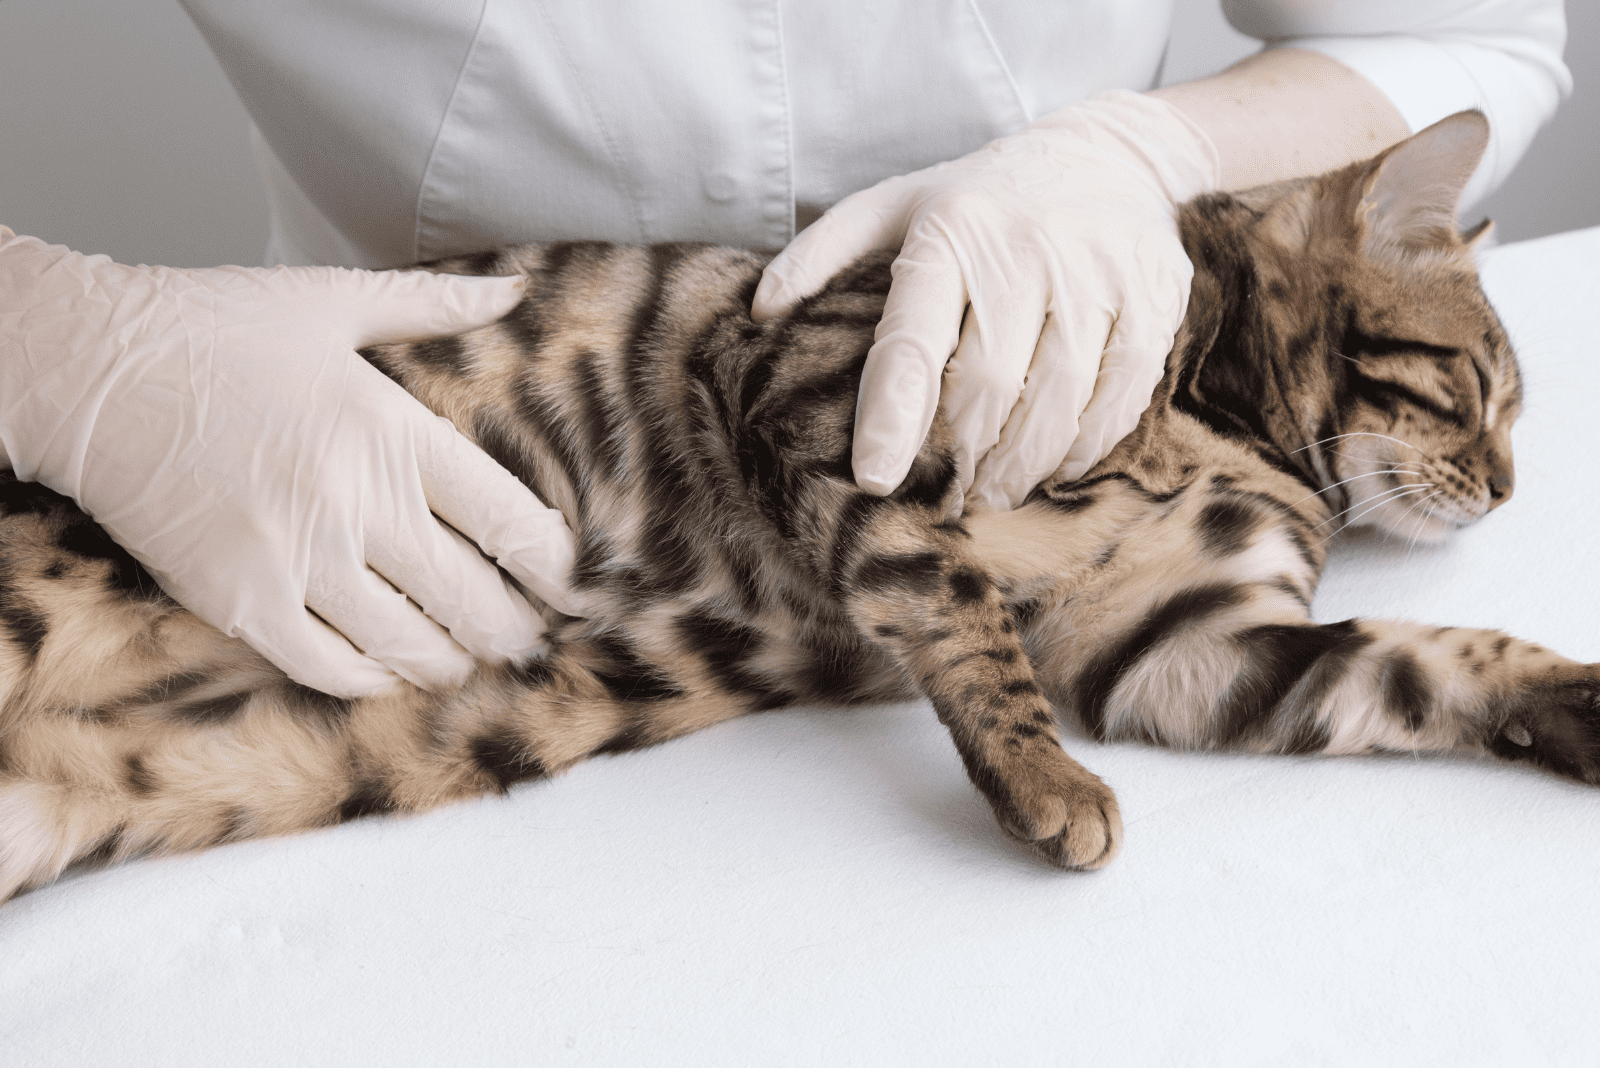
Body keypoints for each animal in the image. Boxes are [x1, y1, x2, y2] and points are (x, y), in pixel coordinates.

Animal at [0, 110, 1587, 901]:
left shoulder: (1181, 643)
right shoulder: (820, 395)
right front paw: (1046, 785)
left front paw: (1575, 700)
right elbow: (958, 604)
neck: (1222, 422)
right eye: (1474, 389)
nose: (1510, 488)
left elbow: (1432, 664)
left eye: (1509, 410)